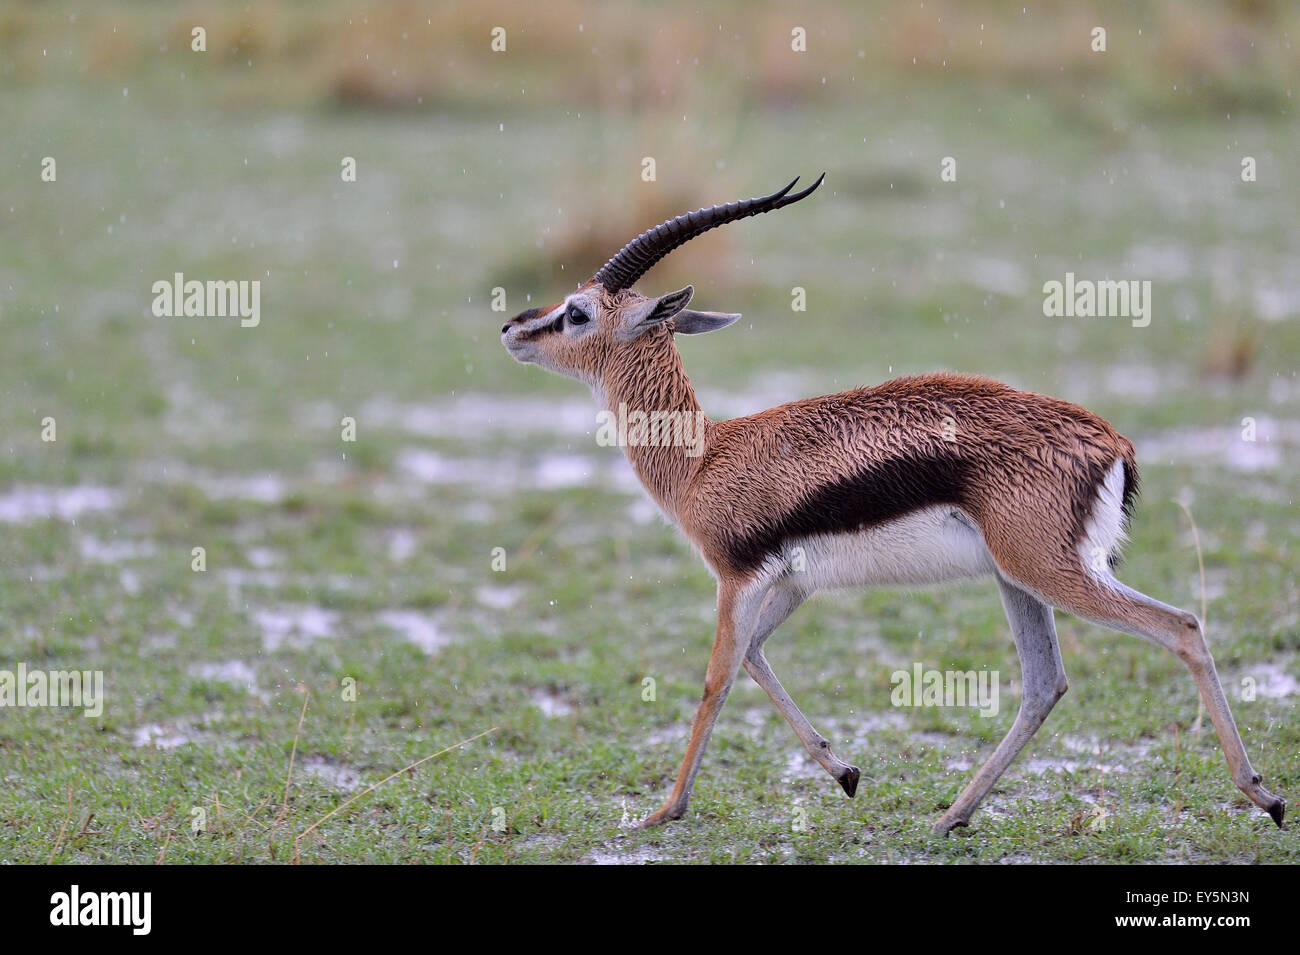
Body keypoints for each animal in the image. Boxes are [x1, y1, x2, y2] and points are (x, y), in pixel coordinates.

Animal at [500, 175, 1286, 834]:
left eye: (577, 313)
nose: (512, 327)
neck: (705, 456)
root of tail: (1111, 441)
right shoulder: (790, 583)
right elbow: (754, 656)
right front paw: (845, 771)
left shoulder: (735, 577)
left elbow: (716, 677)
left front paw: (664, 811)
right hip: (1017, 578)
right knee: (1045, 684)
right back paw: (952, 817)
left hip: (1054, 573)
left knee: (1182, 625)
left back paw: (1265, 796)